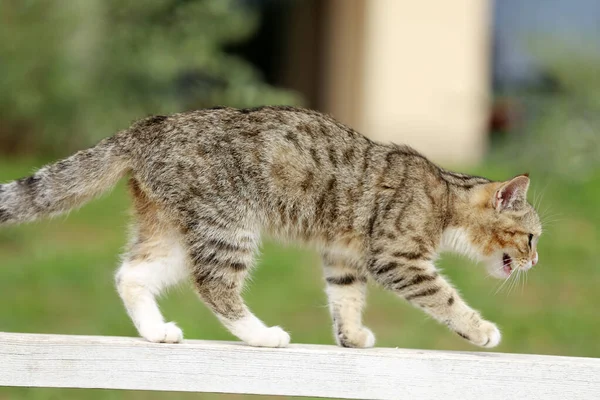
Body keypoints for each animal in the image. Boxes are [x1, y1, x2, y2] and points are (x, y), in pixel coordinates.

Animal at [0, 106, 540, 346]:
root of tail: (144, 127)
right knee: (213, 285)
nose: (535, 260)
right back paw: (261, 335)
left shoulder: (344, 256)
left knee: (129, 274)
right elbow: (444, 298)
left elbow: (345, 299)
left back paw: (157, 333)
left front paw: (351, 336)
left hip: (174, 233)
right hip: (228, 227)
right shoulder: (398, 259)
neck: (444, 195)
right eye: (532, 237)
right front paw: (481, 330)